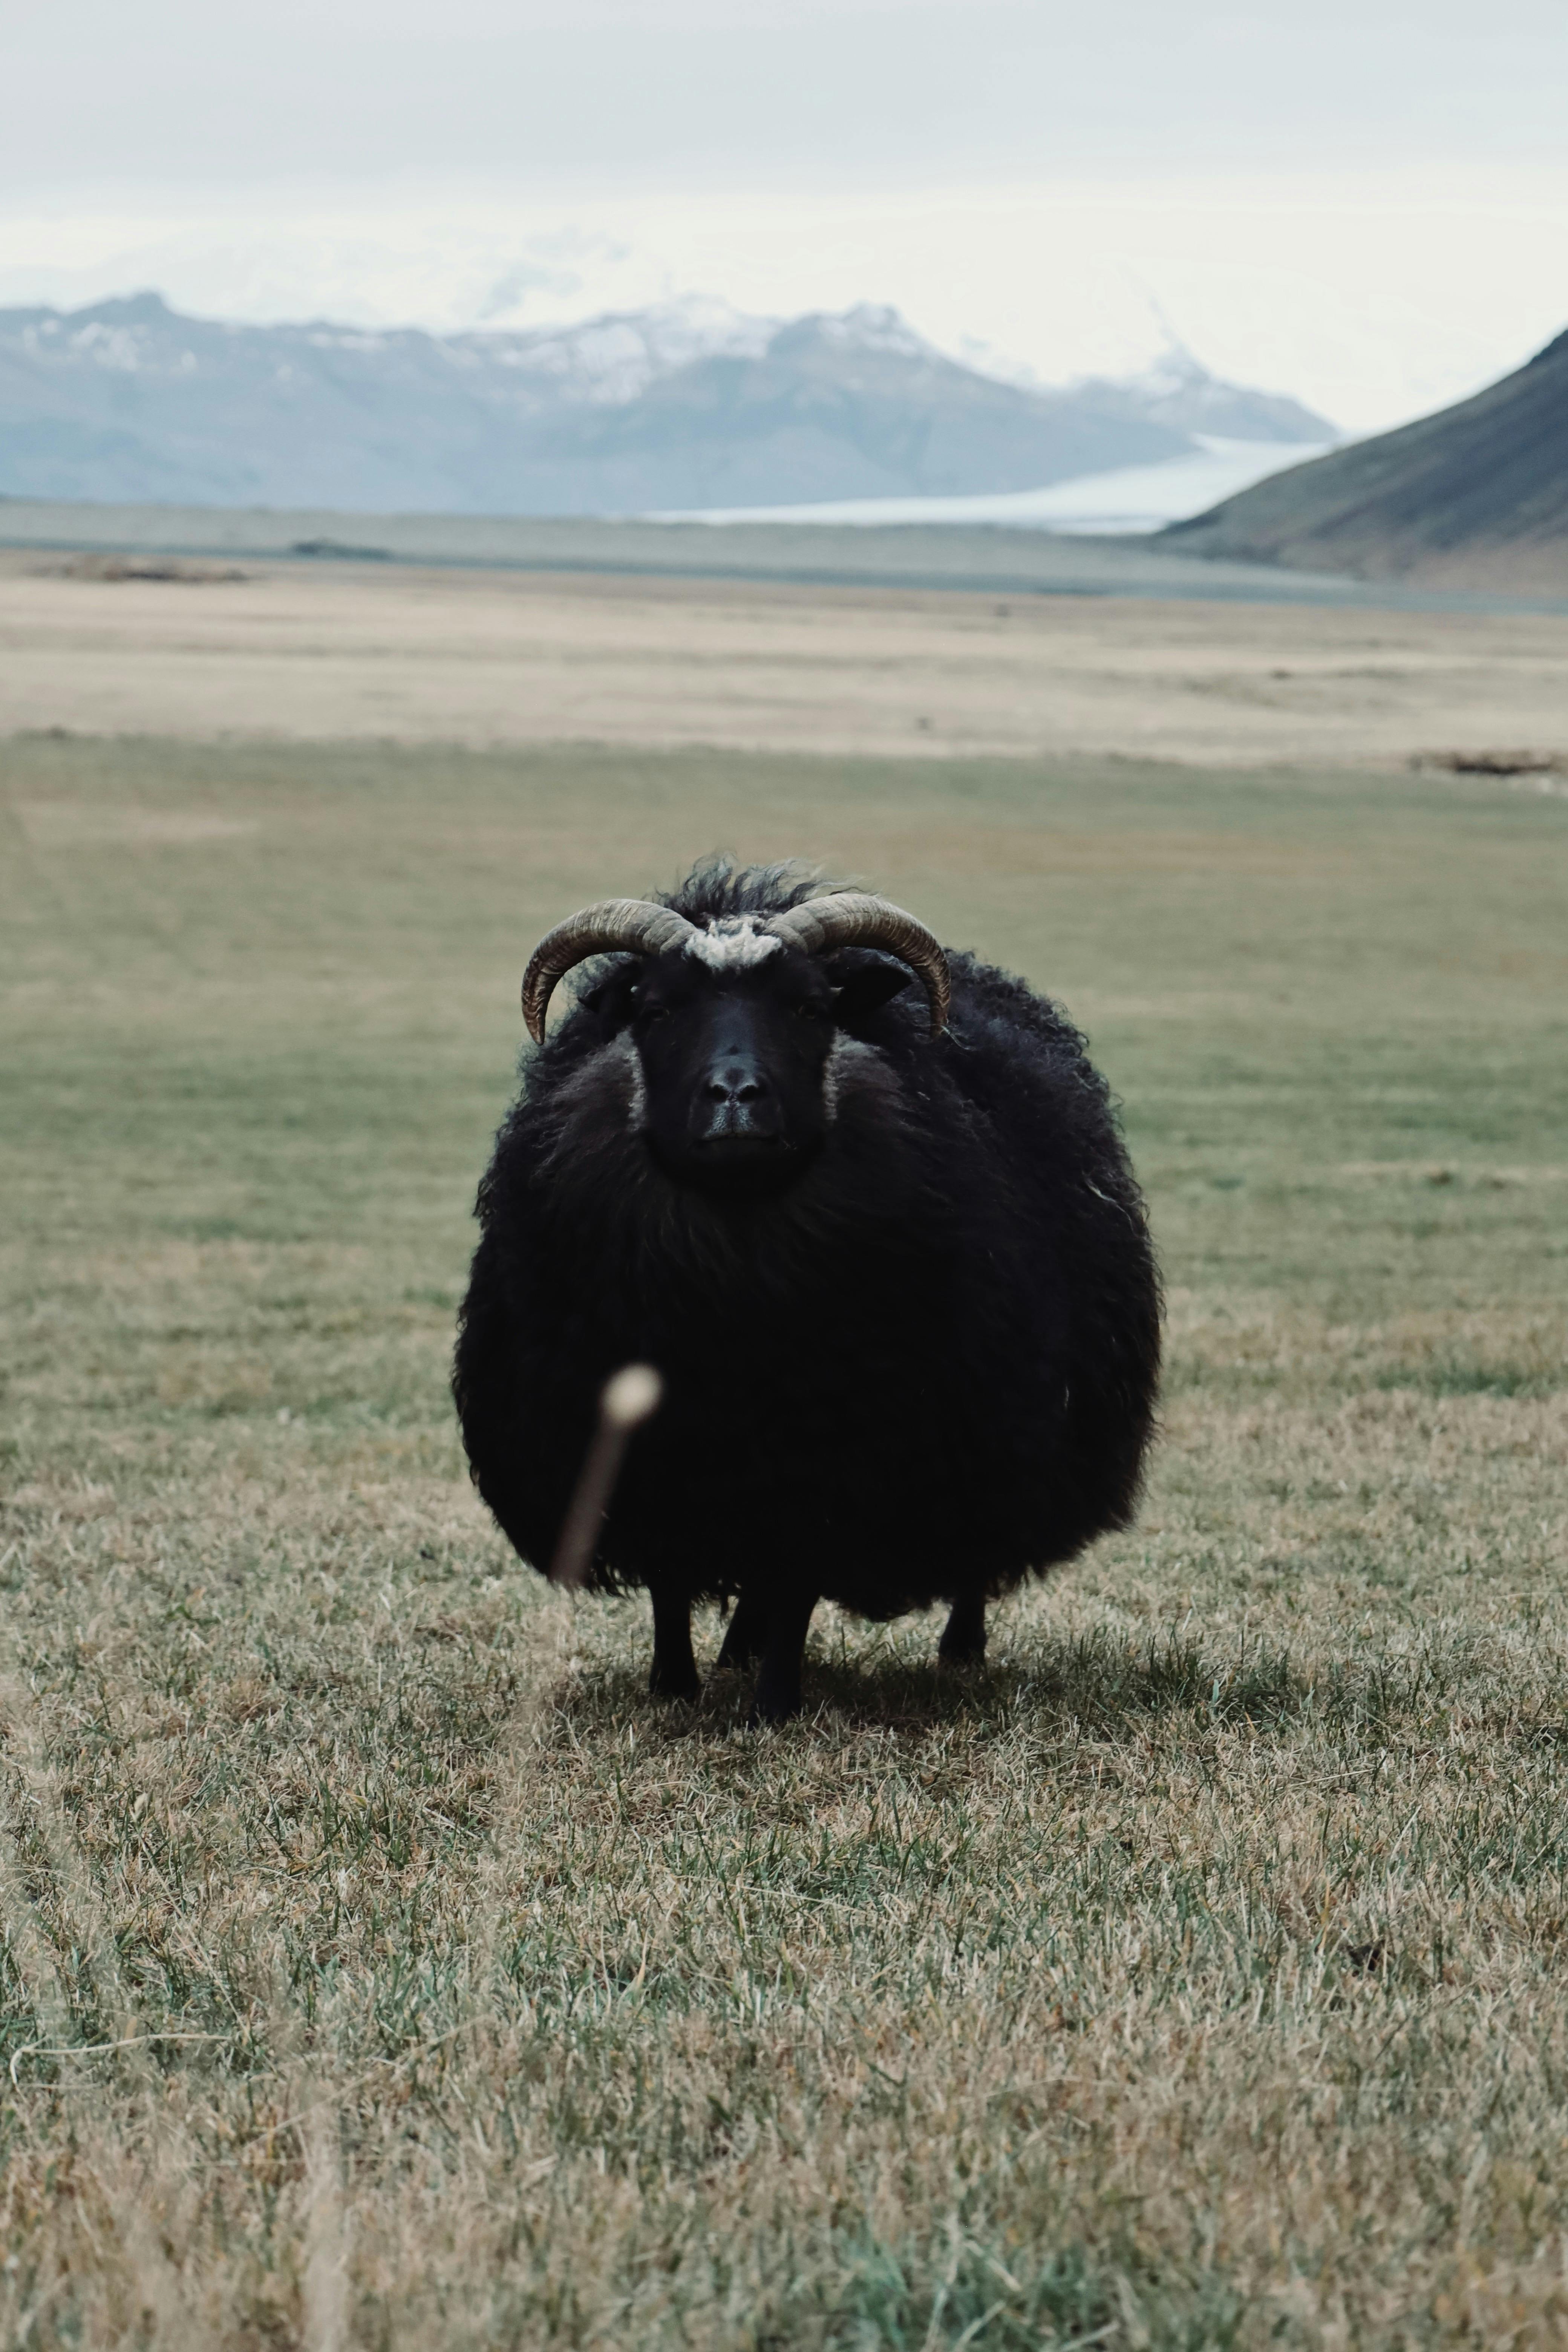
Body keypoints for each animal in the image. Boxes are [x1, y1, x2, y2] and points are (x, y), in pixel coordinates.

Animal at [454, 857, 1160, 1721]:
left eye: (808, 1007)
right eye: (656, 1011)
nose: (735, 1095)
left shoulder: (833, 1456)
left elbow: (794, 1581)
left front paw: (773, 1706)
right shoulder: (650, 1448)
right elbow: (669, 1582)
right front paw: (674, 1689)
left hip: (1004, 1431)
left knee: (979, 1549)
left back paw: (958, 1651)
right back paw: (734, 1652)